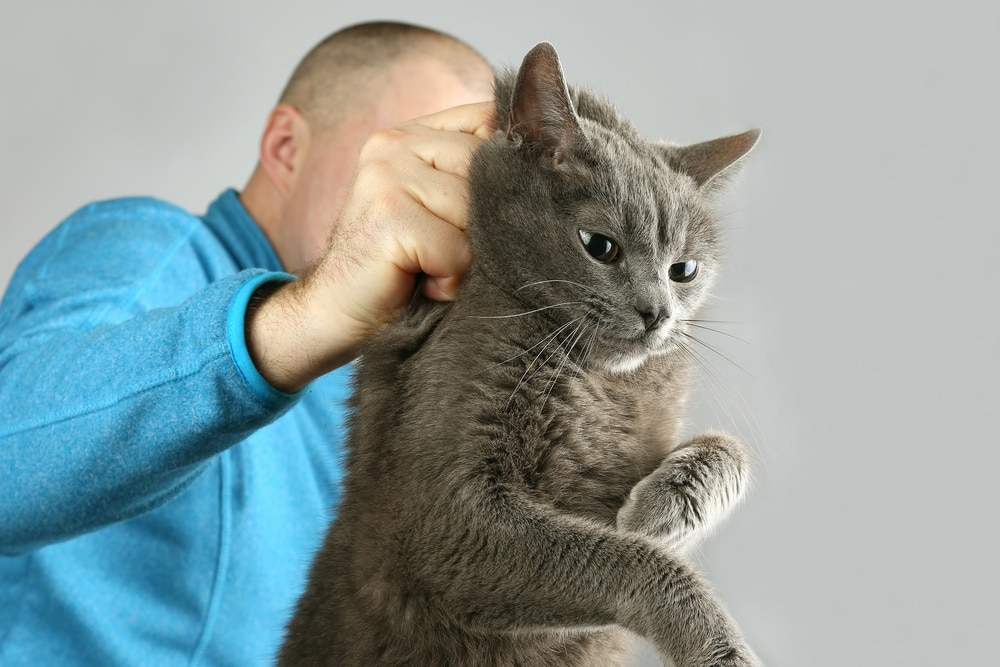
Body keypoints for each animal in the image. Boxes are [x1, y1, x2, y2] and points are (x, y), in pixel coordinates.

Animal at [278, 43, 760, 667]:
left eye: (685, 270)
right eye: (600, 246)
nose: (658, 313)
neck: (603, 383)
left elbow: (731, 451)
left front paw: (660, 512)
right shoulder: (449, 518)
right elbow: (633, 562)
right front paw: (721, 648)